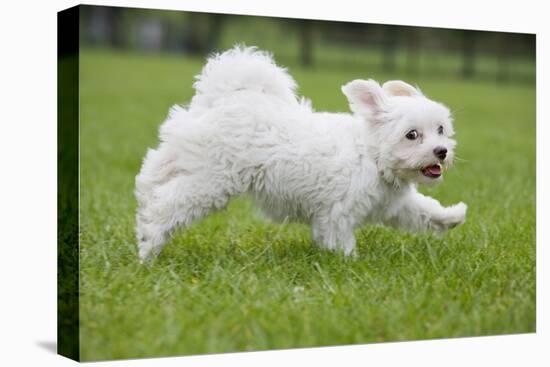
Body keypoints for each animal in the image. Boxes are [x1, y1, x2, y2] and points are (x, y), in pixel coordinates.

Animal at [136, 45, 468, 262]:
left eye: (440, 129)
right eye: (412, 135)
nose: (441, 151)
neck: (372, 156)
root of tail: (227, 97)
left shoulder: (395, 205)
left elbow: (424, 211)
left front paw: (452, 216)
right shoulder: (337, 214)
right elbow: (341, 240)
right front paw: (351, 263)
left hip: (186, 156)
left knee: (152, 174)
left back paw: (143, 210)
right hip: (212, 180)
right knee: (168, 204)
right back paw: (149, 244)